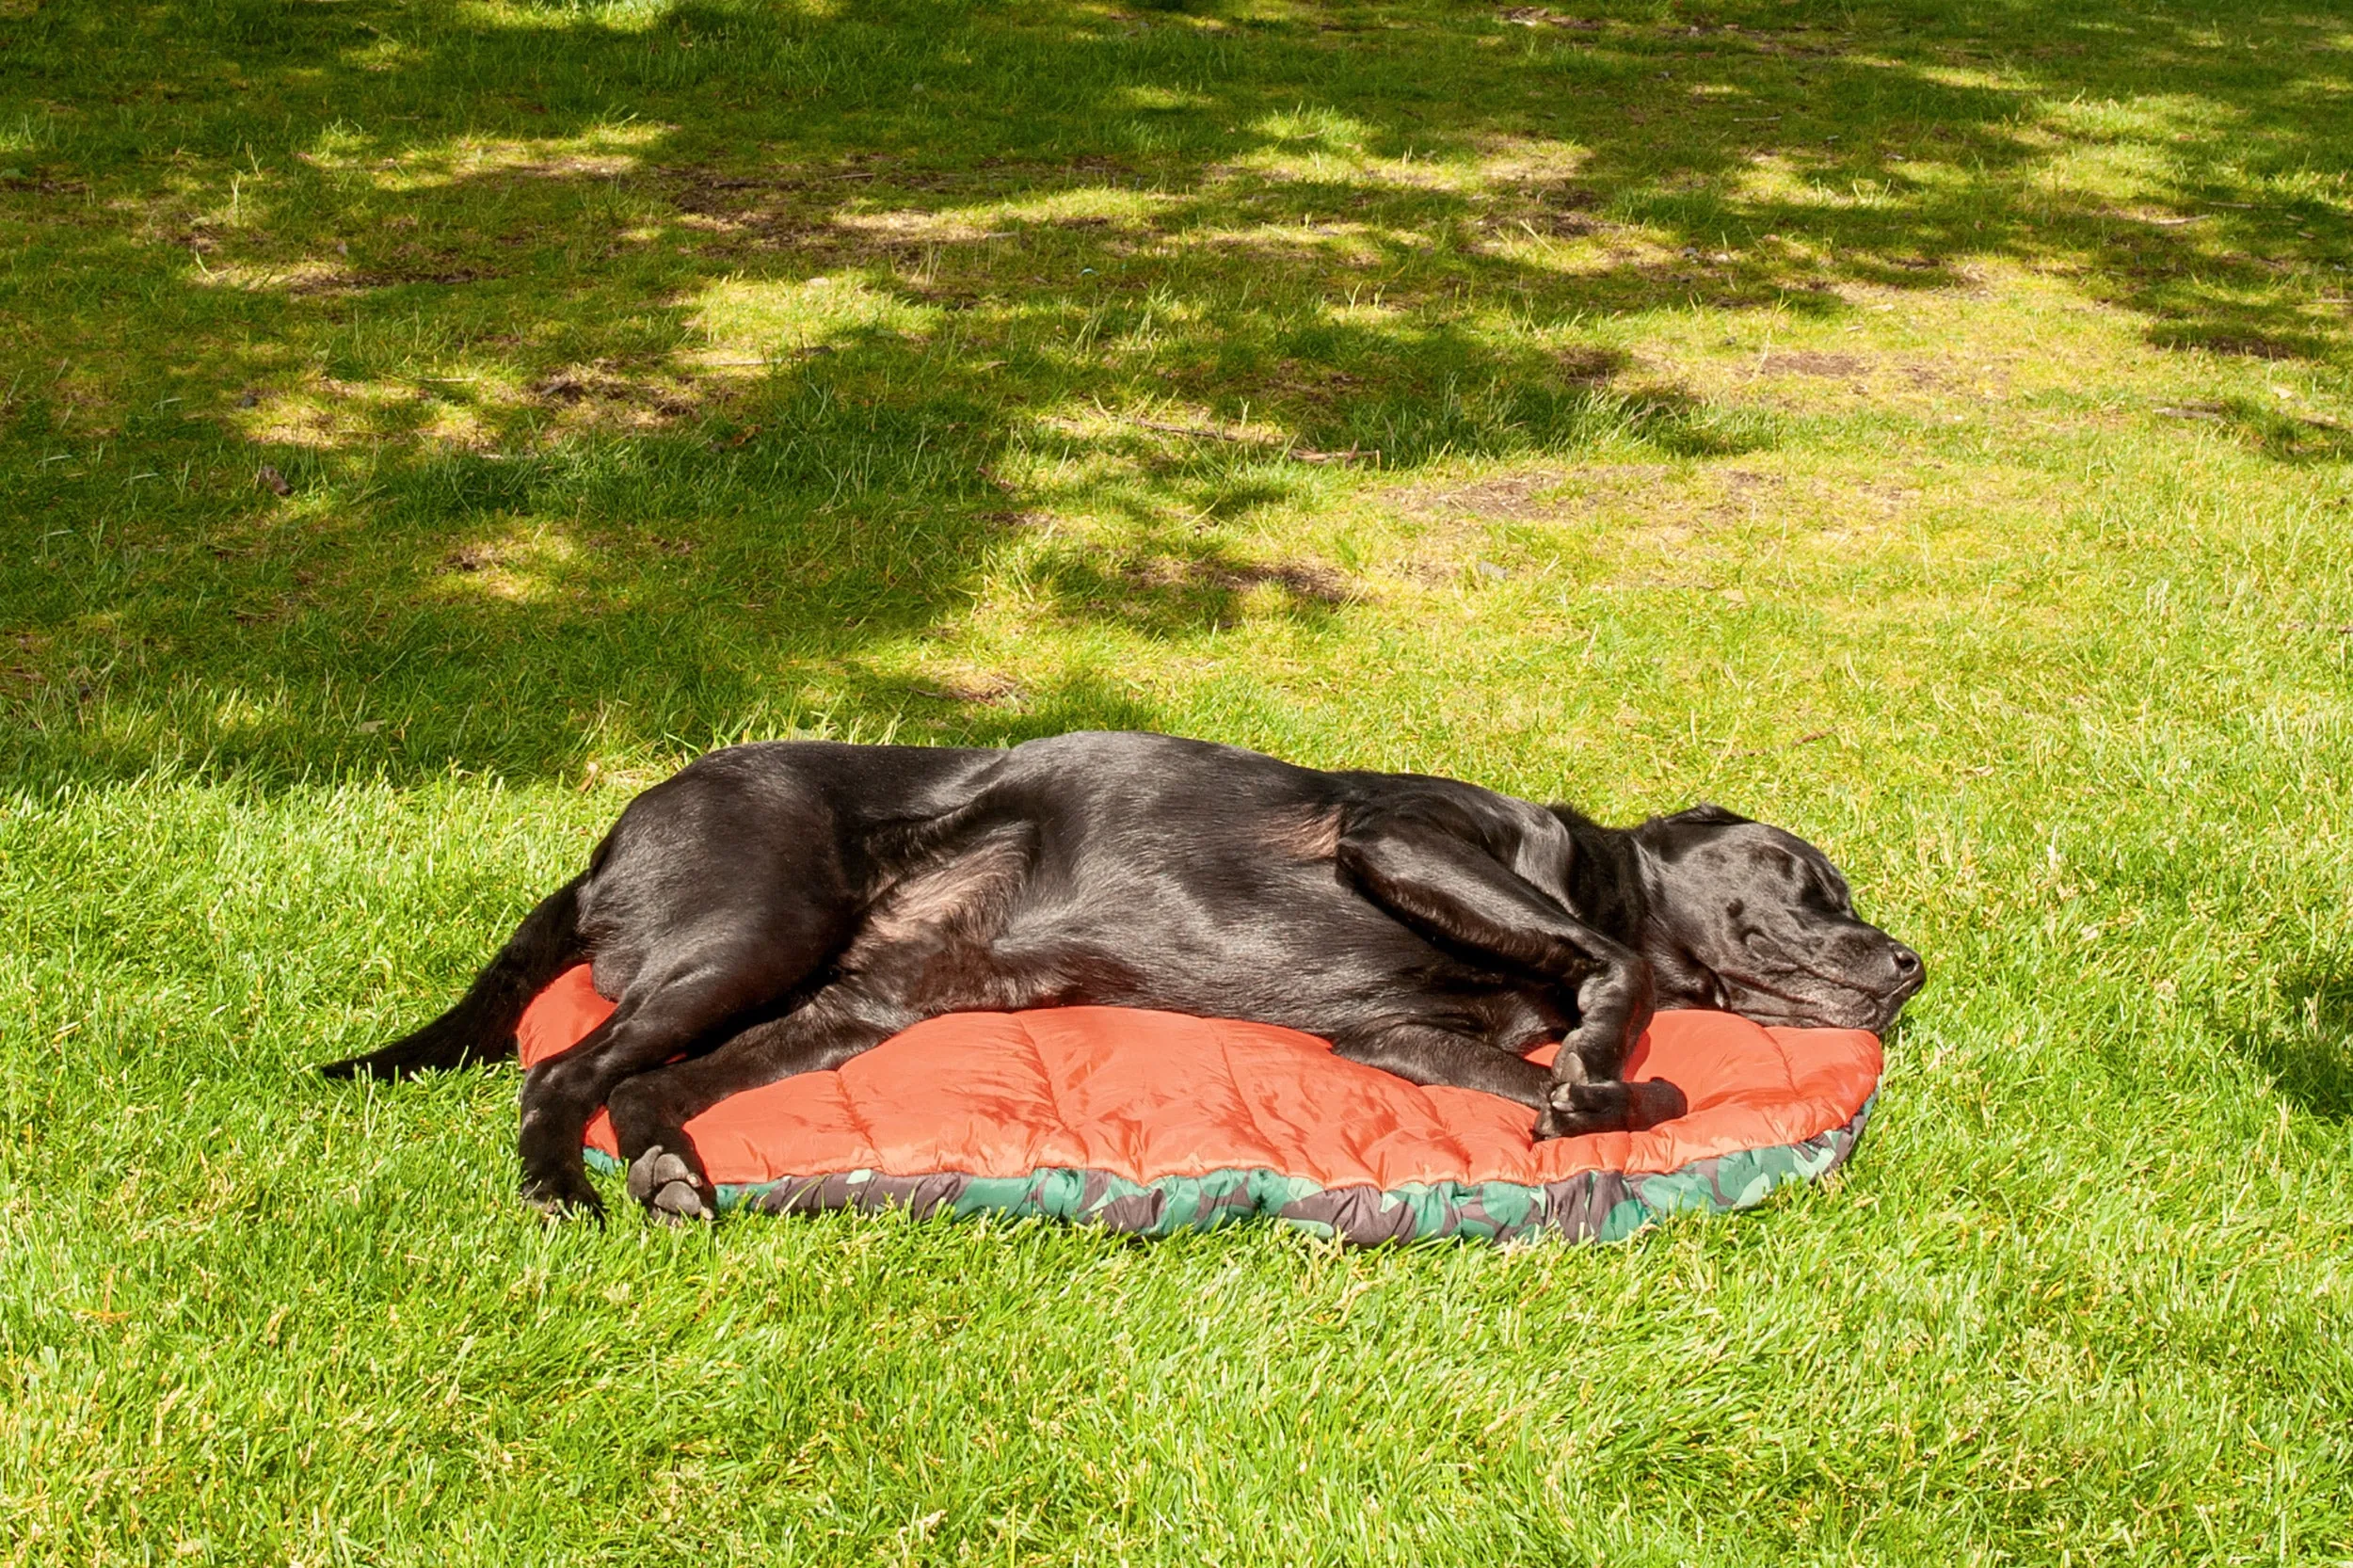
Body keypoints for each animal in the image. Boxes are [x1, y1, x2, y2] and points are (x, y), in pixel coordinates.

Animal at [322, 725, 1920, 1214]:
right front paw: (1601, 1050)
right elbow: (1615, 971)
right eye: (1814, 881)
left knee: (650, 1081)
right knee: (559, 1065)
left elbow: (1585, 1074)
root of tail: (620, 828)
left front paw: (1594, 1093)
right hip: (753, 929)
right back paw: (558, 1187)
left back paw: (666, 1173)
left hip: (841, 1009)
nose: (1910, 964)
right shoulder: (1401, 833)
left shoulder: (1399, 1040)